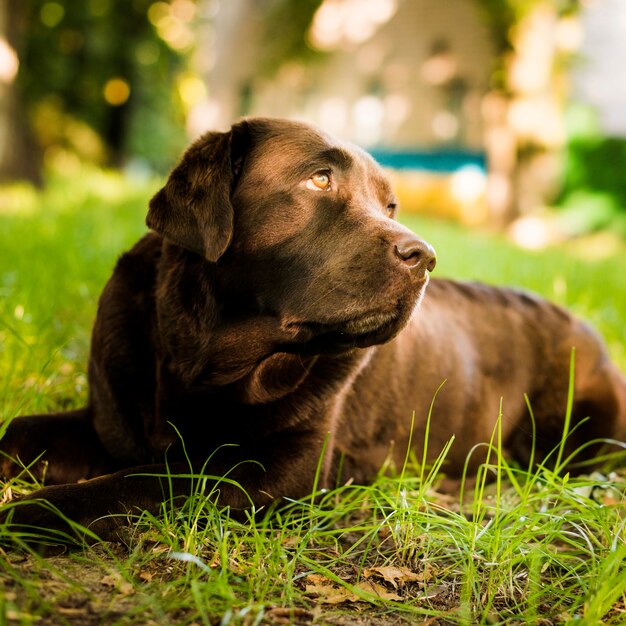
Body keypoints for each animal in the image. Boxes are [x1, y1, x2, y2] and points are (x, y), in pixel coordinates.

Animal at [3, 118, 624, 540]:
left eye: (389, 205)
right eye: (320, 180)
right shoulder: (105, 422)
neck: (202, 359)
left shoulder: (277, 467)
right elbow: (20, 430)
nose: (425, 256)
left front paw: (30, 512)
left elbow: (141, 481)